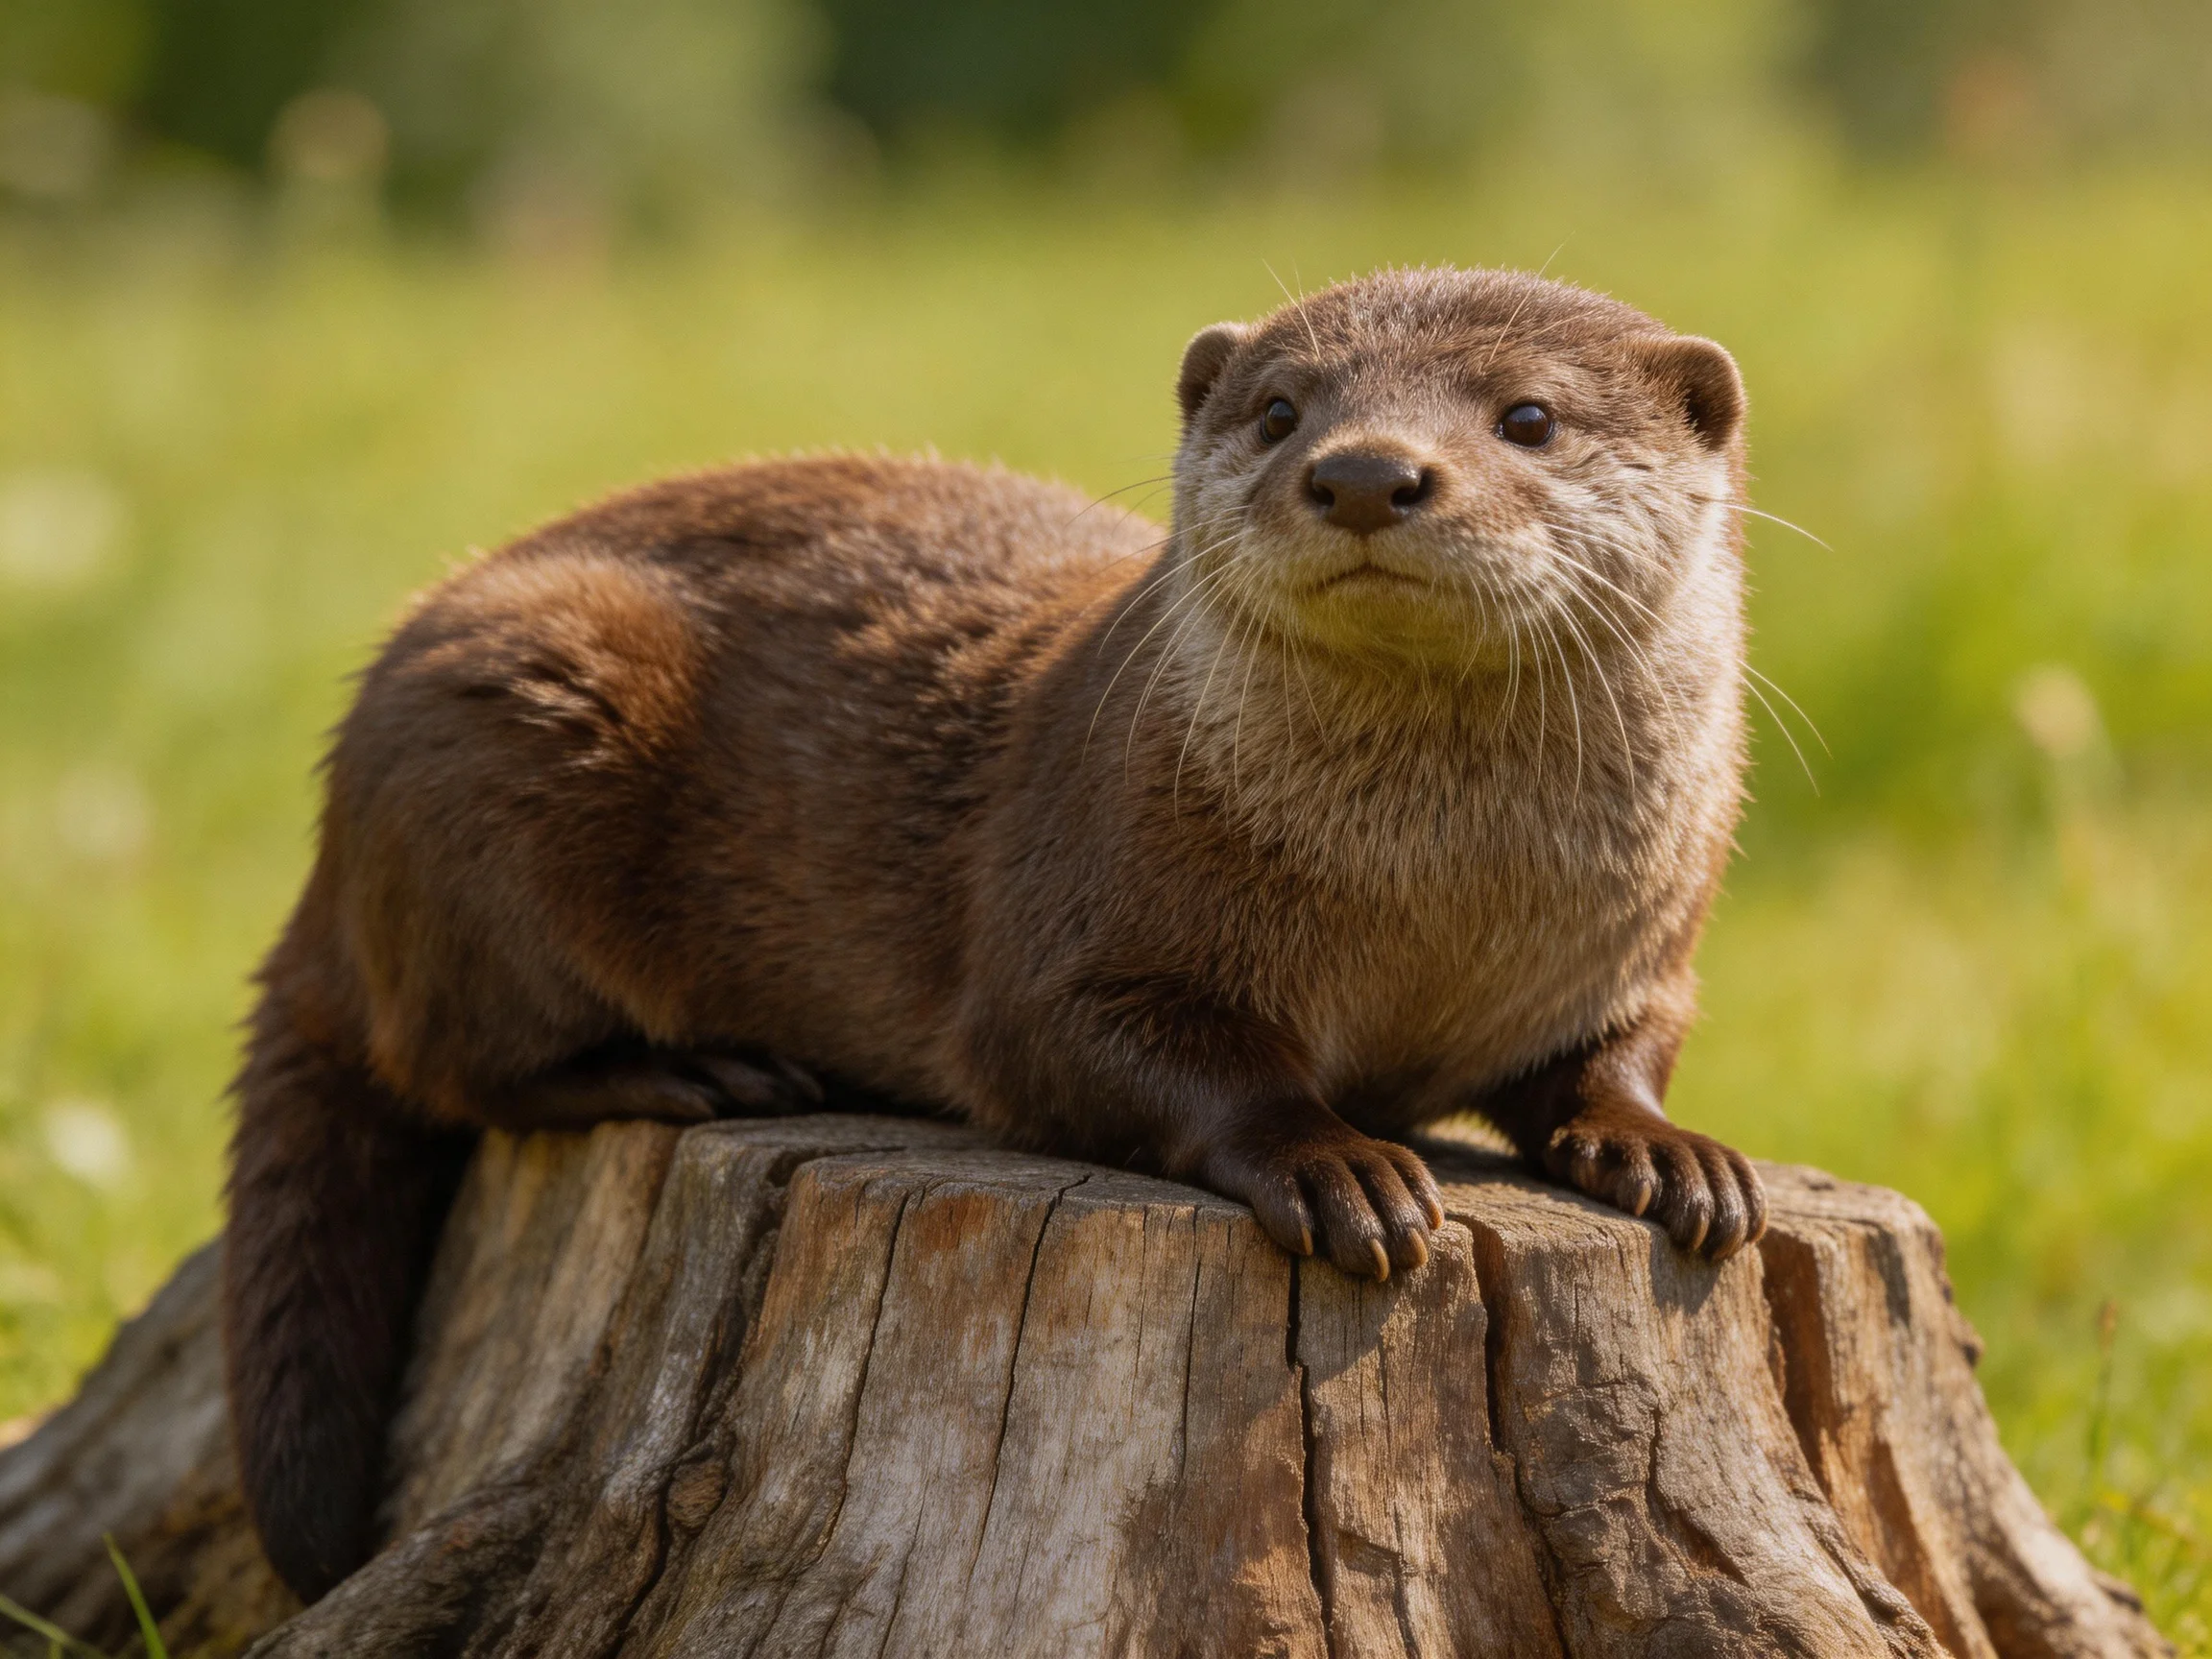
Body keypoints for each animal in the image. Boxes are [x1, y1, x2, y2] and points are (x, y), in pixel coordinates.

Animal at [223, 265, 1766, 1602]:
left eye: (1529, 416)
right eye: (1282, 410)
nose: (1366, 471)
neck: (1429, 907)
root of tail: (325, 858)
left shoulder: (1643, 947)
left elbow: (1617, 1053)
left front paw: (1671, 1157)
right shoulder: (1070, 916)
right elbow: (1140, 1058)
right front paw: (1342, 1168)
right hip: (497, 732)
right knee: (451, 1055)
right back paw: (700, 1072)